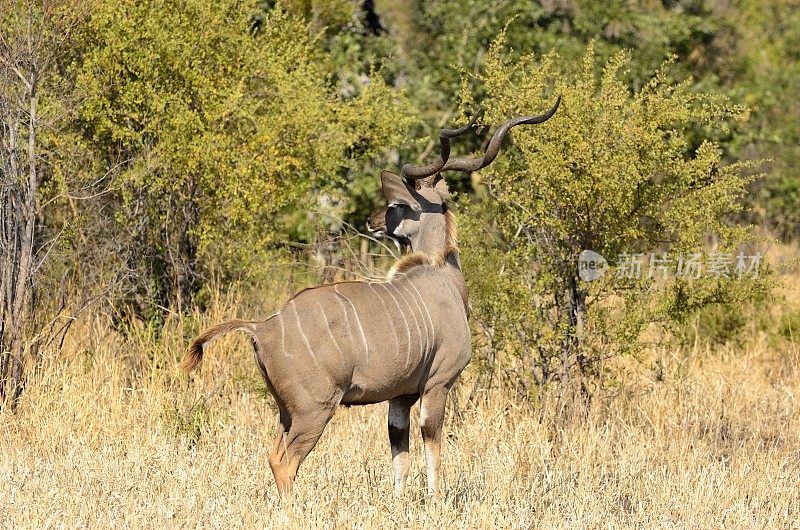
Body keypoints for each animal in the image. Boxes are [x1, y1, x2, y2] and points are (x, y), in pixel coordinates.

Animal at [183, 97, 564, 498]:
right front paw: (436, 499)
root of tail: (261, 327)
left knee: (274, 455)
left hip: (287, 412)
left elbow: (399, 449)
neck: (442, 276)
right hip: (314, 410)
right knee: (284, 462)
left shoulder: (400, 396)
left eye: (395, 206)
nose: (372, 220)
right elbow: (432, 443)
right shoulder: (439, 383)